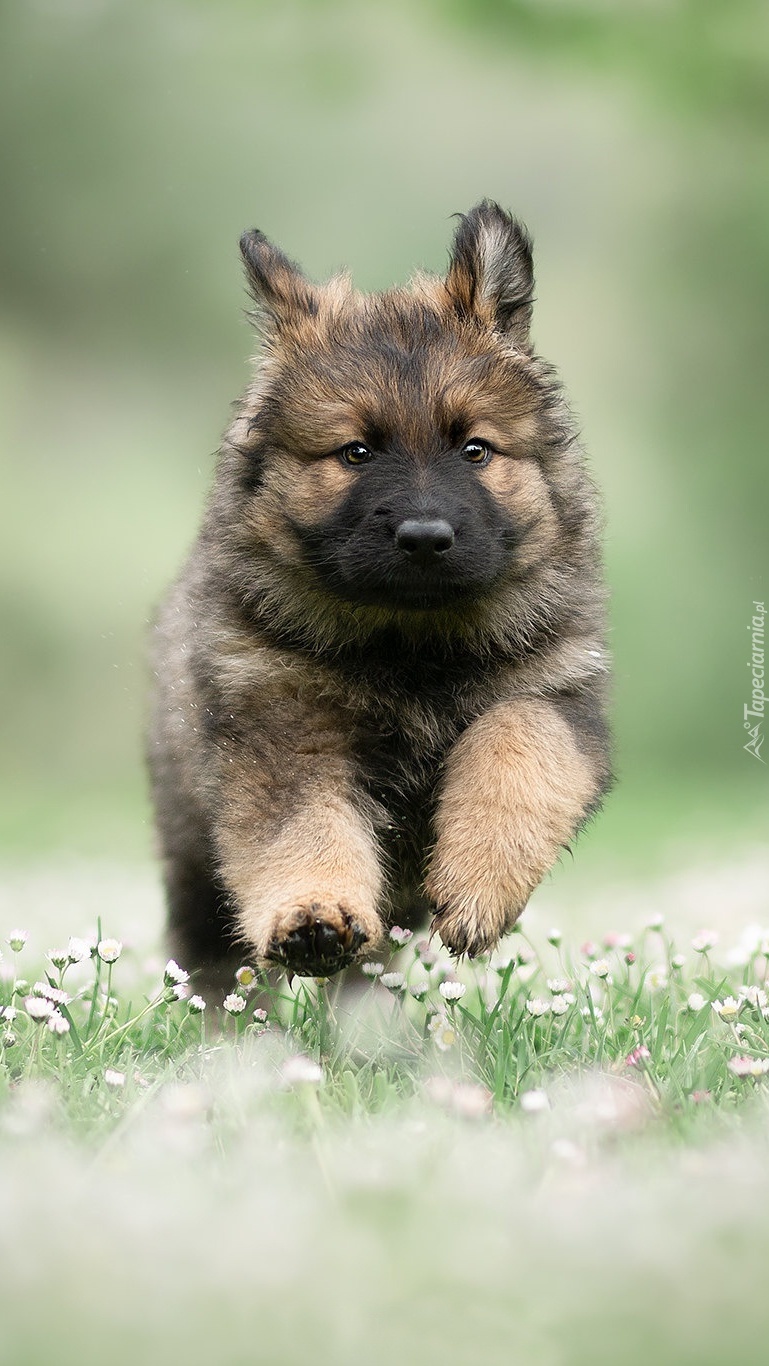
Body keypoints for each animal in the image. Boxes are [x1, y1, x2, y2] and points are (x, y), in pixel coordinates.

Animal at [147, 198, 611, 983]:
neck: (411, 644)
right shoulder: (282, 731)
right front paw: (312, 916)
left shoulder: (553, 694)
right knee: (215, 962)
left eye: (475, 449)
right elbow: (302, 829)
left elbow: (518, 752)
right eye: (355, 452)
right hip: (192, 861)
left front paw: (478, 886)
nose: (424, 537)